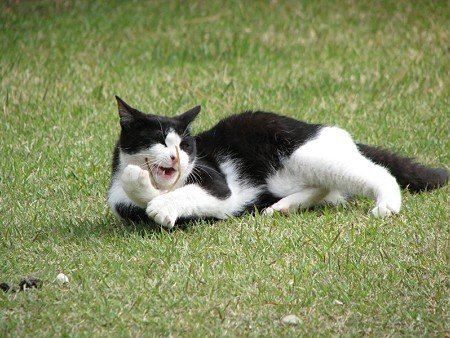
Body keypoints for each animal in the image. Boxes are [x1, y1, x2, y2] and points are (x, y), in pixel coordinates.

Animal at [107, 96, 448, 228]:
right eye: (160, 140)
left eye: (185, 144)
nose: (177, 156)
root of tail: (313, 127)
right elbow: (141, 194)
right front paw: (143, 186)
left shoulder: (217, 185)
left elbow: (190, 193)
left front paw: (161, 205)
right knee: (326, 189)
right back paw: (282, 207)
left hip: (307, 155)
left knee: (374, 172)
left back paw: (387, 204)